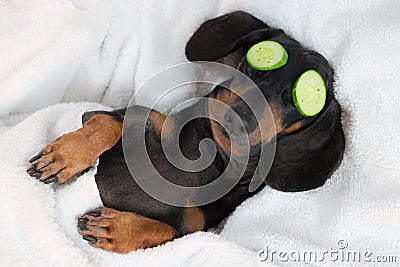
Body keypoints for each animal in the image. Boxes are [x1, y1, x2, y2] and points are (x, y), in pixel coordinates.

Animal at [25, 12, 344, 255]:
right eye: (259, 61)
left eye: (300, 100)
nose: (239, 117)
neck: (210, 158)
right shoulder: (113, 114)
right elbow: (108, 124)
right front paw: (65, 156)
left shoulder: (193, 229)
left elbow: (165, 230)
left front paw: (116, 230)